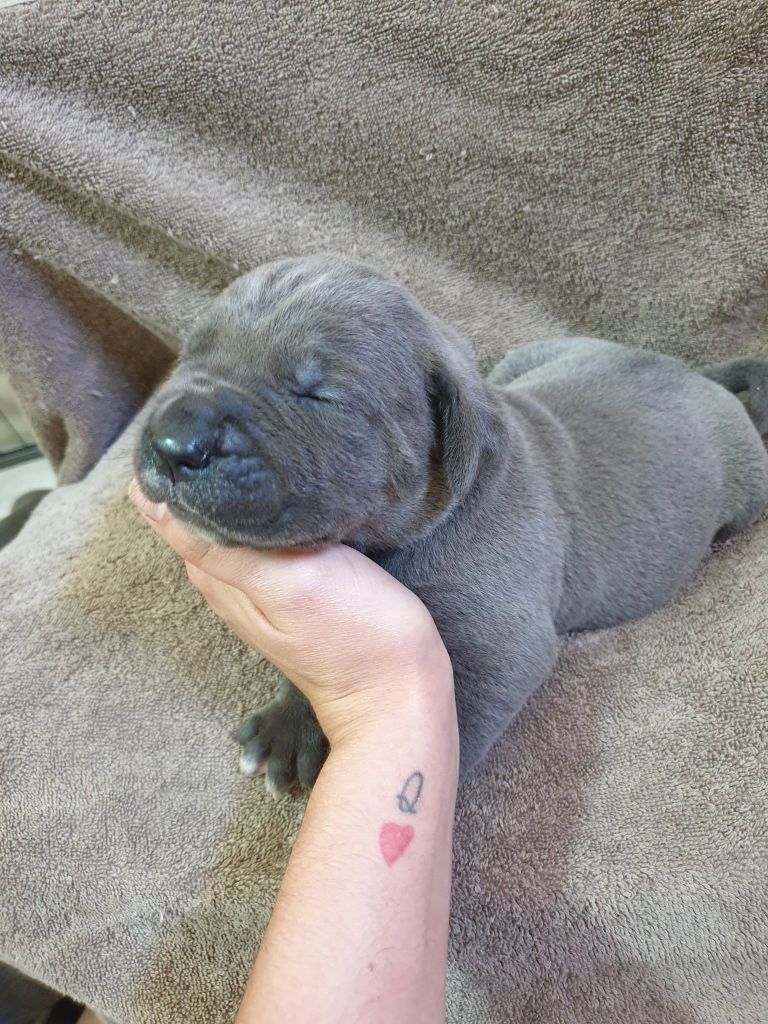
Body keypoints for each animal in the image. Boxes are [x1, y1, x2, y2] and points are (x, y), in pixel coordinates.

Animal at [135, 255, 768, 790]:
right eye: (189, 355)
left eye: (318, 394)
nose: (174, 440)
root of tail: (694, 373)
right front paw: (291, 723)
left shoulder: (501, 644)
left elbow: (455, 726)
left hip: (748, 482)